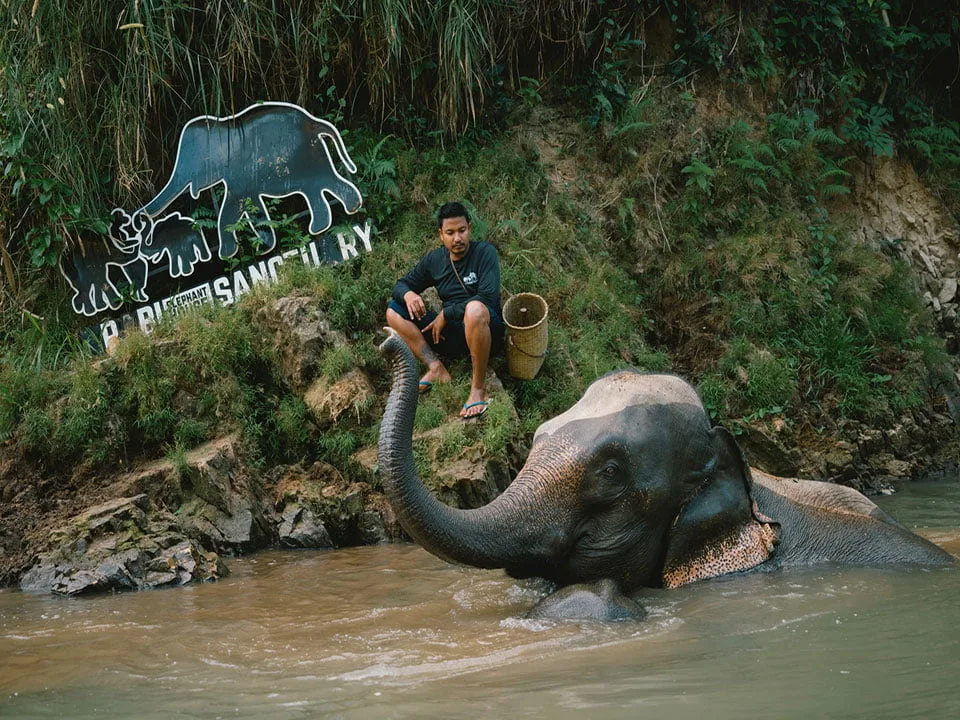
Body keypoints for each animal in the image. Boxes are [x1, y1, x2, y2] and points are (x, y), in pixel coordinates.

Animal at [142, 102, 362, 260]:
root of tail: (314, 122)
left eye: (191, 164)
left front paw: (228, 254)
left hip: (309, 157)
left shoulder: (240, 173)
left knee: (323, 182)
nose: (141, 218)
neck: (221, 127)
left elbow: (232, 207)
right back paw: (324, 225)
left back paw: (346, 213)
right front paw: (264, 247)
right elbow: (252, 206)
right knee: (317, 188)